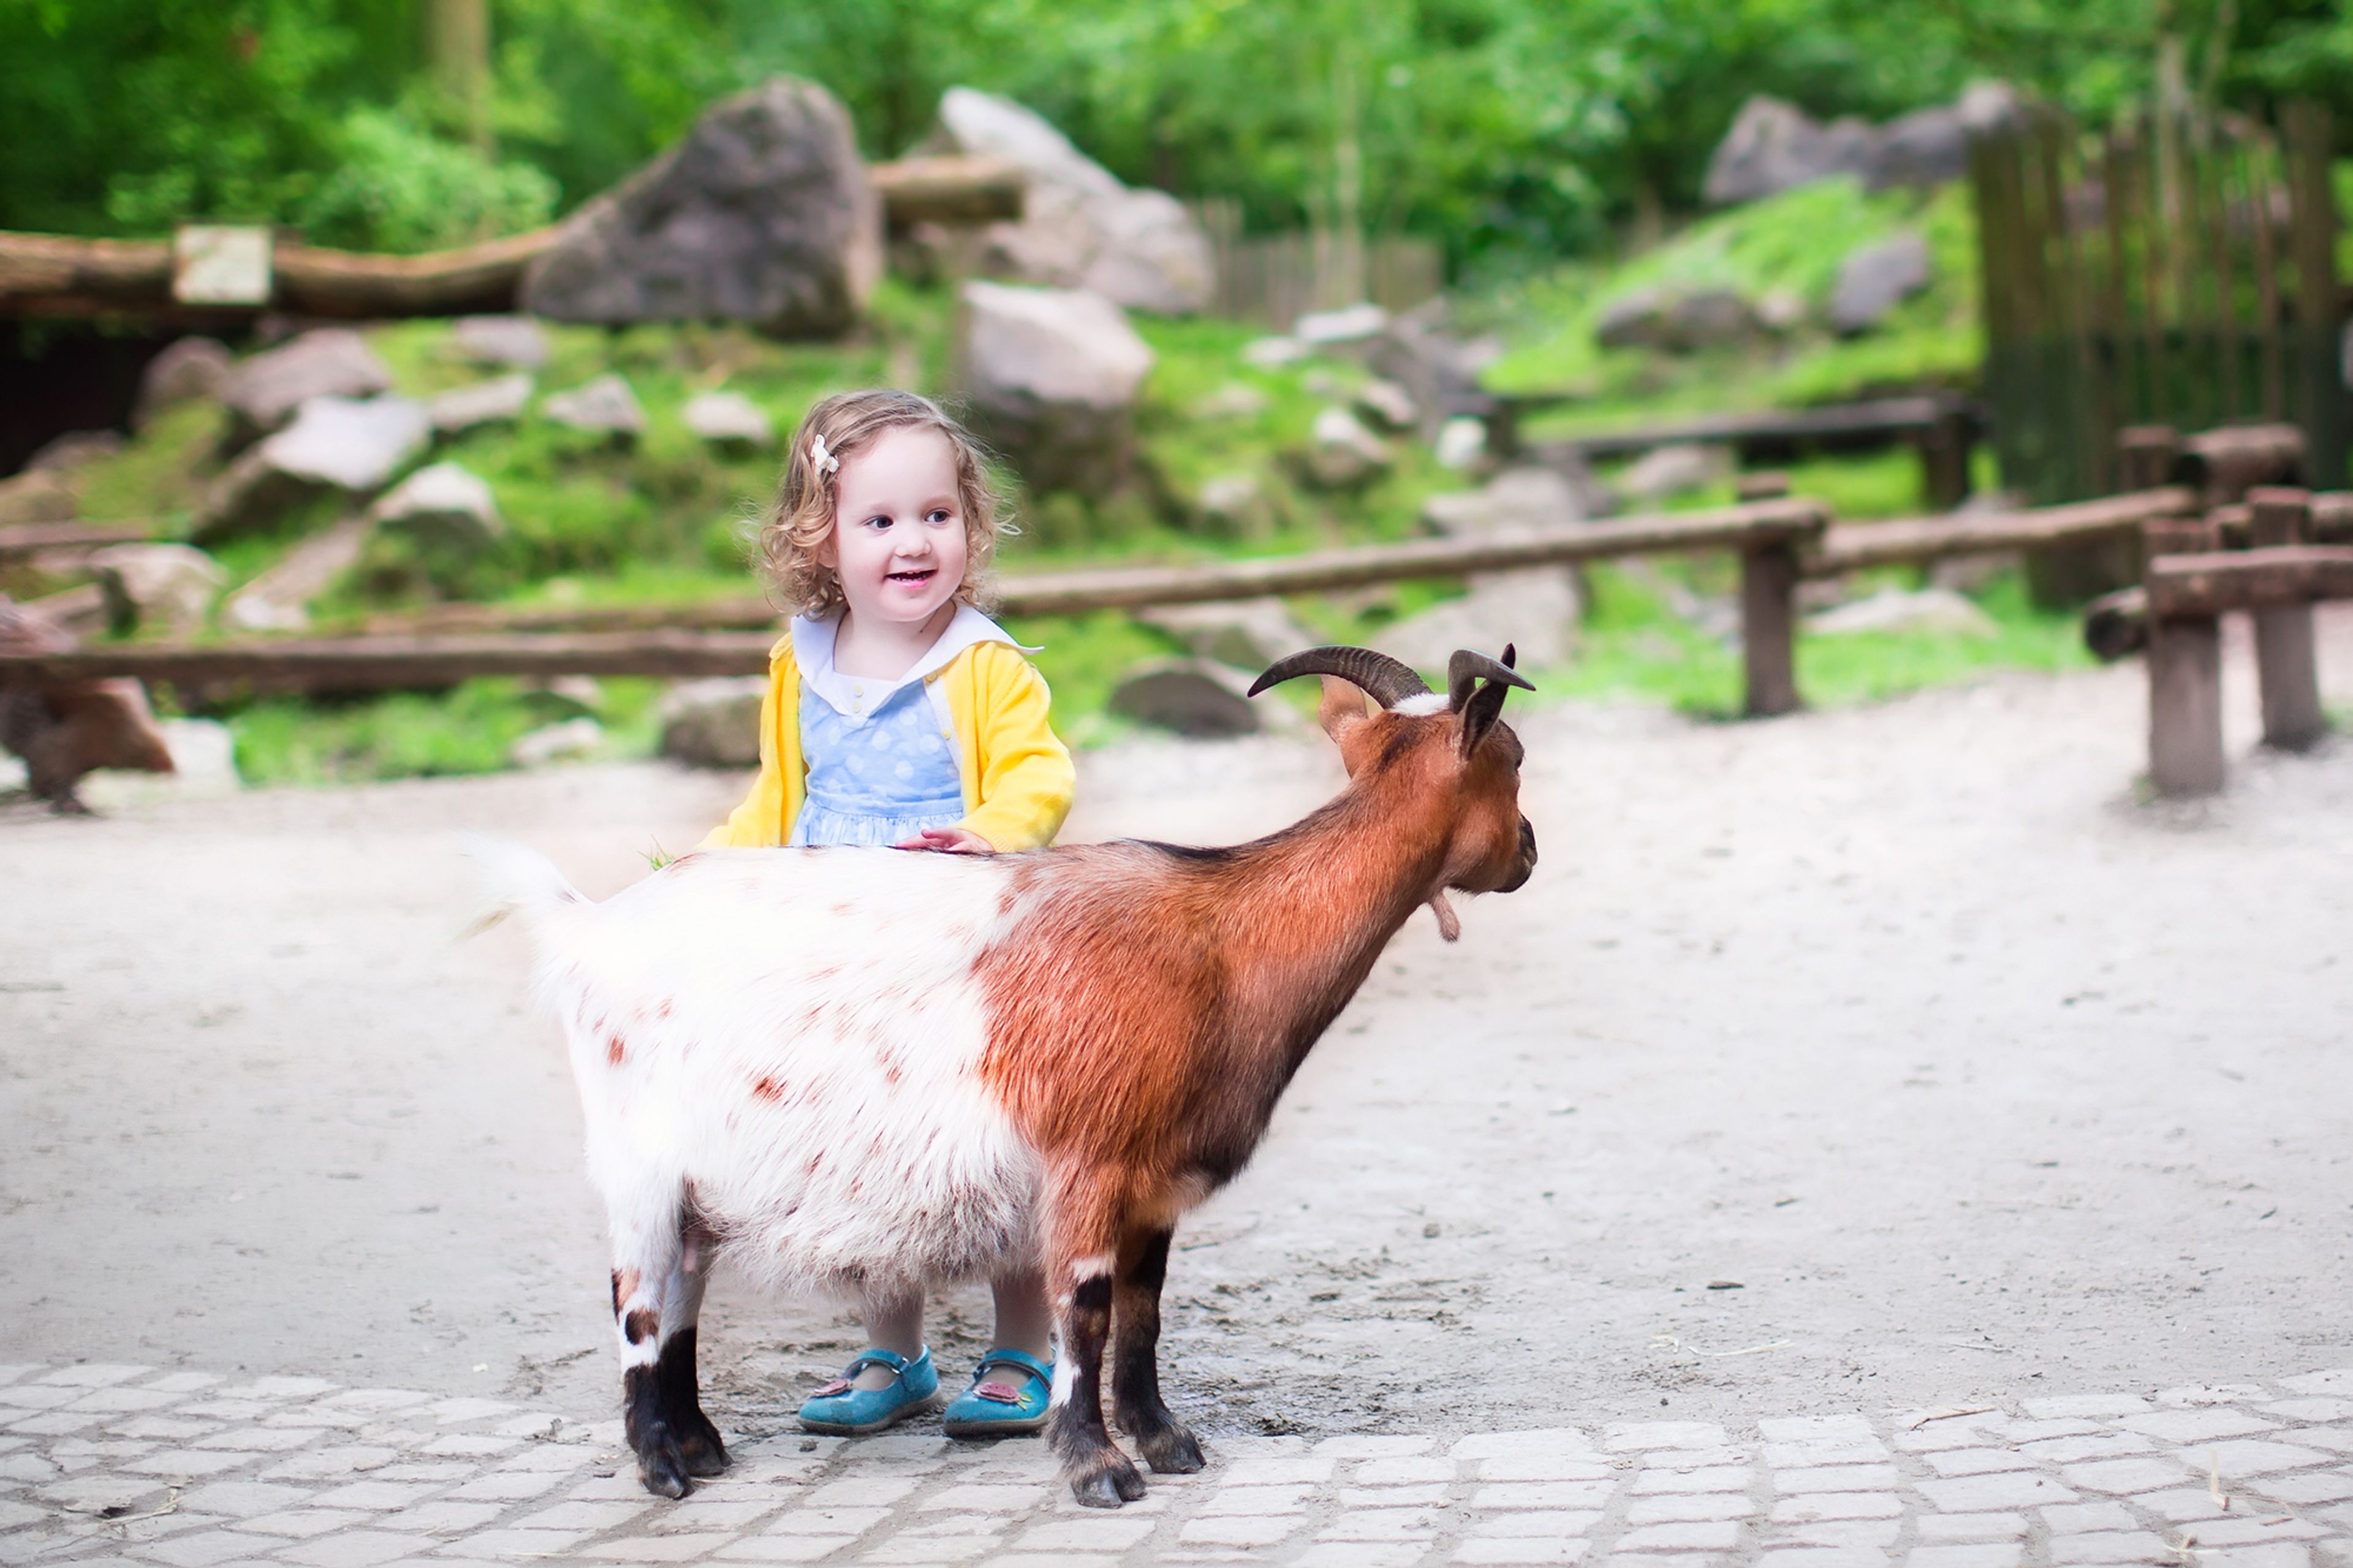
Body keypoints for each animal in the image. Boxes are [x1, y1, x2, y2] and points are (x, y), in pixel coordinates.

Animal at [477, 645, 1544, 1507]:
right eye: (1517, 756)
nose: (1529, 852)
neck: (1224, 938)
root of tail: (589, 927)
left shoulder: (1154, 1182)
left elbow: (1144, 1314)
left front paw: (1165, 1441)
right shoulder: (1088, 1163)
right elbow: (1085, 1312)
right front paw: (1097, 1466)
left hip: (700, 1179)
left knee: (685, 1291)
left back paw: (702, 1445)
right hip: (639, 1162)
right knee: (639, 1297)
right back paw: (661, 1463)